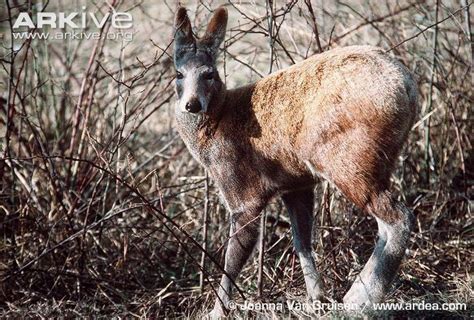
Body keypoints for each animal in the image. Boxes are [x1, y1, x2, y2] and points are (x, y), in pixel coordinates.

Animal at [170, 5, 418, 318]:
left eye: (210, 73)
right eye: (178, 73)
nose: (192, 104)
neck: (216, 126)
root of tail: (408, 85)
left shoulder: (243, 194)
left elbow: (232, 259)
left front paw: (217, 311)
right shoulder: (296, 184)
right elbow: (302, 241)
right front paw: (316, 298)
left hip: (350, 160)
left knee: (398, 217)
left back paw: (359, 298)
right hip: (377, 160)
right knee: (386, 221)